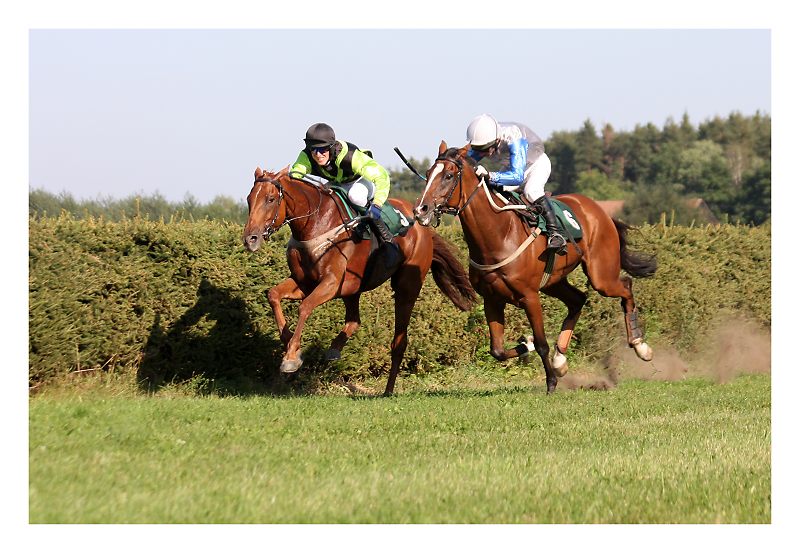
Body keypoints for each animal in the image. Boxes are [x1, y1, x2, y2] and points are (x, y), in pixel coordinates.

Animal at [242, 166, 476, 394]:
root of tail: (421, 226)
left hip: (406, 287)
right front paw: (288, 341)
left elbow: (305, 306)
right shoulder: (304, 282)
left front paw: (291, 357)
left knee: (399, 340)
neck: (316, 225)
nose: (250, 239)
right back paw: (335, 349)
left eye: (270, 199)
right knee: (354, 320)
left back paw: (388, 390)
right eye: (249, 199)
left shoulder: (332, 283)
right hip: (353, 289)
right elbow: (273, 295)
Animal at [412, 142, 656, 392]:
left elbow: (541, 343)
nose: (421, 210)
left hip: (601, 276)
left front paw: (551, 382)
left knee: (626, 286)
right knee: (578, 300)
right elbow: (497, 350)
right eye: (428, 174)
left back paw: (640, 346)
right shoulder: (492, 299)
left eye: (449, 175)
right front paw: (527, 346)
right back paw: (561, 360)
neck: (499, 236)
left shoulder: (530, 296)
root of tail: (598, 210)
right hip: (554, 281)